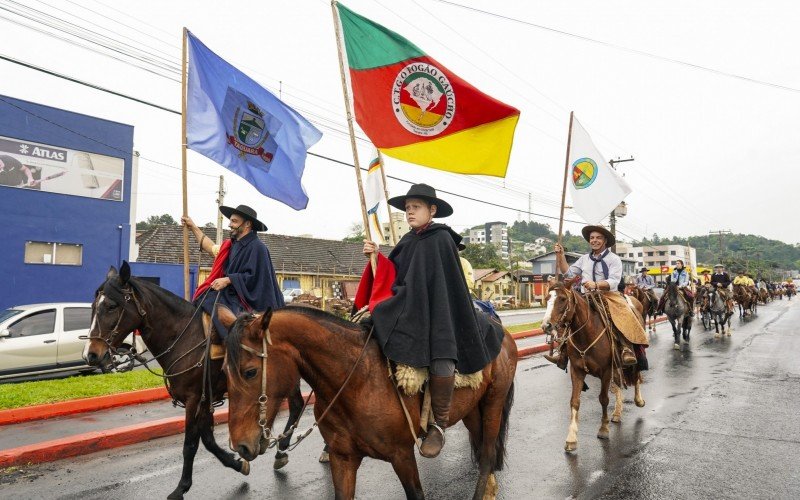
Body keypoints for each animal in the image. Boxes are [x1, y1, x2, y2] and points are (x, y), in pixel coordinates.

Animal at [82, 264, 306, 498]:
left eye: (111, 306)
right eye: (93, 306)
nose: (91, 355)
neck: (184, 336)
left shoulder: (194, 399)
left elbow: (190, 445)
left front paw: (181, 487)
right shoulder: (206, 399)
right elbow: (208, 440)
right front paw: (237, 463)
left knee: (297, 404)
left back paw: (284, 450)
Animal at [217, 304, 520, 500]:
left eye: (250, 372)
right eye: (223, 372)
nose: (240, 445)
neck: (356, 381)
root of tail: (501, 331)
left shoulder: (402, 455)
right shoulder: (343, 459)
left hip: (494, 402)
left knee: (487, 453)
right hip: (471, 410)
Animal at [540, 282, 648, 454]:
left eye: (562, 299)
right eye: (547, 298)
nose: (546, 325)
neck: (586, 333)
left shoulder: (605, 371)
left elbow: (603, 399)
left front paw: (603, 429)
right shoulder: (577, 371)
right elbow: (574, 401)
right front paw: (571, 439)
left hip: (634, 351)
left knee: (637, 375)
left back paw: (638, 400)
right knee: (617, 385)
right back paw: (617, 412)